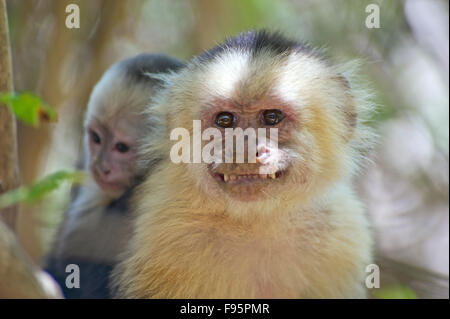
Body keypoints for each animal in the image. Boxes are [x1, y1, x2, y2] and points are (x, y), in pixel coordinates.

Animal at [111, 30, 376, 300]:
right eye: (225, 120)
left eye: (272, 117)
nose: (245, 148)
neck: (256, 221)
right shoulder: (160, 224)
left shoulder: (342, 237)